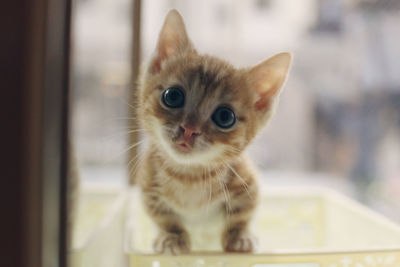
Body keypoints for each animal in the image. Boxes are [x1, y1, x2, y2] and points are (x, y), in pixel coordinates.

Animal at [137, 8, 290, 255]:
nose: (189, 129)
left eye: (225, 117)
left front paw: (240, 236)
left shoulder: (247, 181)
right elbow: (162, 216)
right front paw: (171, 237)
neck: (188, 177)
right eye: (172, 96)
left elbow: (243, 212)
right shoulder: (147, 186)